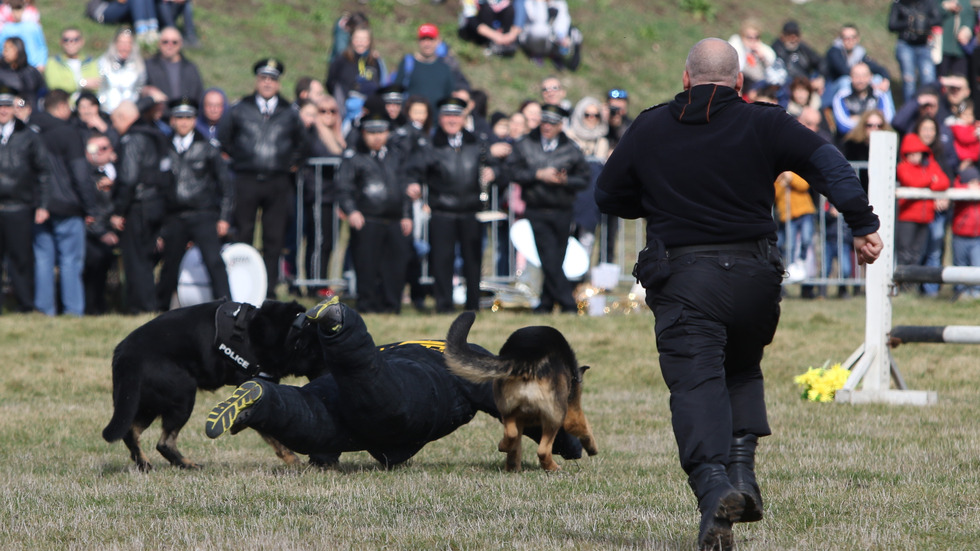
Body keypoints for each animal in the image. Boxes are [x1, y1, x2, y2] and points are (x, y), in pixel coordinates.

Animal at [102, 300, 322, 472]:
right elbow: (271, 432)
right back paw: (186, 464)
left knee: (132, 433)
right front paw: (292, 459)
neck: (288, 333)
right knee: (163, 443)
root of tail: (123, 354)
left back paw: (146, 463)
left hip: (145, 403)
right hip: (183, 394)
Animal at [444, 312, 596, 472]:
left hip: (508, 409)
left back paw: (505, 452)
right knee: (543, 451)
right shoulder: (572, 409)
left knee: (512, 435)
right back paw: (554, 468)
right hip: (555, 416)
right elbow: (582, 425)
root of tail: (527, 356)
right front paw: (592, 448)